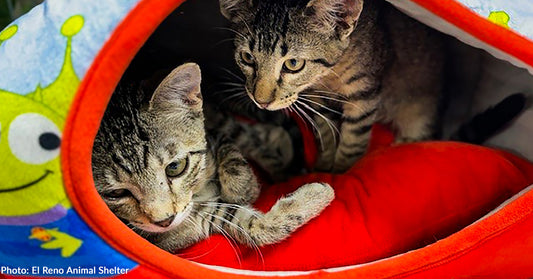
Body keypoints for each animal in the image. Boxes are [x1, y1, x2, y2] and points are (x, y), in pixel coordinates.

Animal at [91, 64, 332, 254]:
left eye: (175, 167)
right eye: (115, 194)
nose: (164, 221)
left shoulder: (215, 134)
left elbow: (231, 155)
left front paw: (244, 188)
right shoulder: (192, 224)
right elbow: (255, 227)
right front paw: (317, 195)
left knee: (250, 132)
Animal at [218, 0, 442, 173]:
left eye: (293, 64)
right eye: (247, 57)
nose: (261, 102)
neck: (328, 76)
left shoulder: (364, 95)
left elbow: (353, 140)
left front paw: (341, 173)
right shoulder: (316, 99)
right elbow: (325, 132)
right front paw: (323, 167)